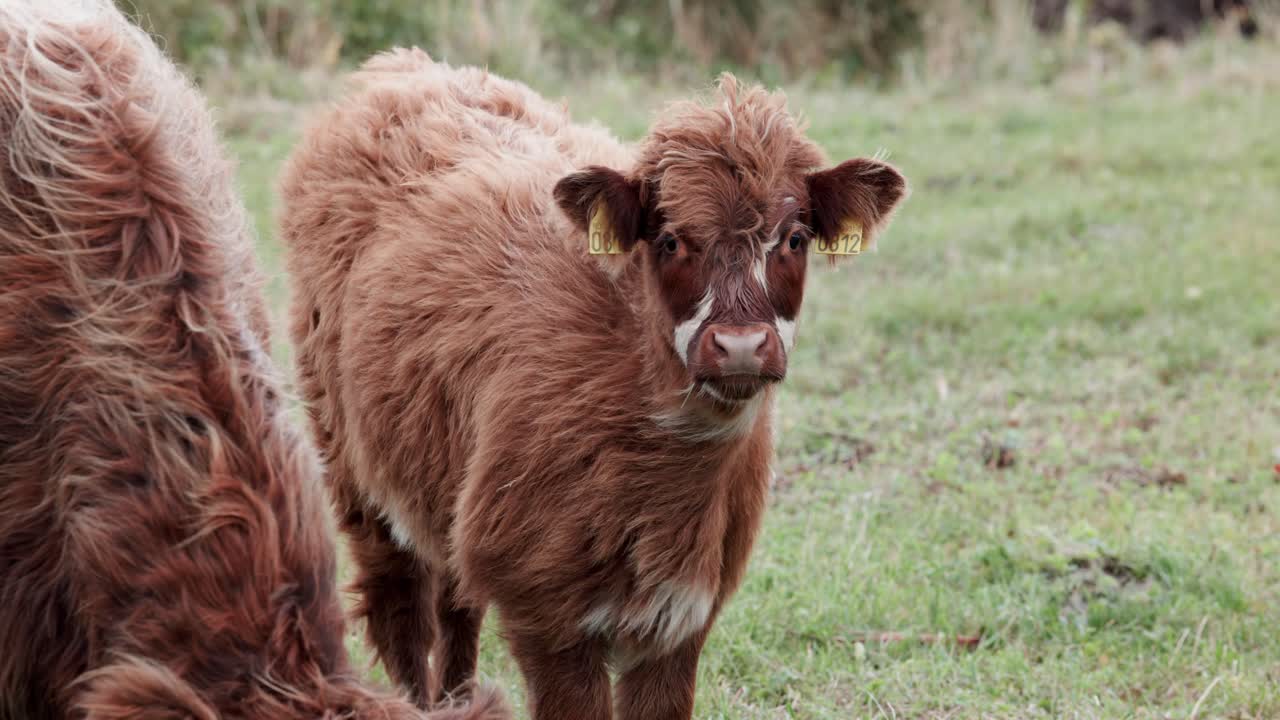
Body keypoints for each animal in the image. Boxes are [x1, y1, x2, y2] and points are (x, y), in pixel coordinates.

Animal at [281, 48, 906, 719]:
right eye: (669, 239)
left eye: (793, 238)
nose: (740, 346)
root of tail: (403, 64)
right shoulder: (544, 609)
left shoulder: (683, 615)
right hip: (349, 455)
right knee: (400, 605)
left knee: (455, 601)